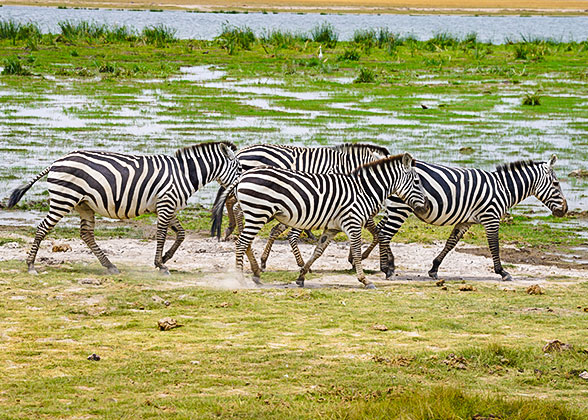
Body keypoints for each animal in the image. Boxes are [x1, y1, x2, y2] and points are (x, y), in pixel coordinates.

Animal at [5, 141, 240, 276]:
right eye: (239, 169)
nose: (240, 187)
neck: (184, 174)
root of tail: (55, 162)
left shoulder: (168, 206)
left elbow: (181, 234)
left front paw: (164, 259)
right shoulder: (165, 203)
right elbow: (162, 235)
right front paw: (160, 264)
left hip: (83, 205)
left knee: (86, 234)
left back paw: (110, 266)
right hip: (64, 199)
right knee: (42, 228)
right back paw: (31, 265)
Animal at [368, 156, 564, 280]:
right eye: (556, 183)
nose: (565, 210)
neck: (503, 188)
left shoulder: (465, 222)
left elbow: (450, 243)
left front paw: (434, 268)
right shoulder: (491, 217)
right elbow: (494, 245)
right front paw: (502, 272)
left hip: (393, 208)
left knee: (380, 231)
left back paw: (381, 262)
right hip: (400, 208)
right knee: (385, 234)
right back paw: (386, 269)